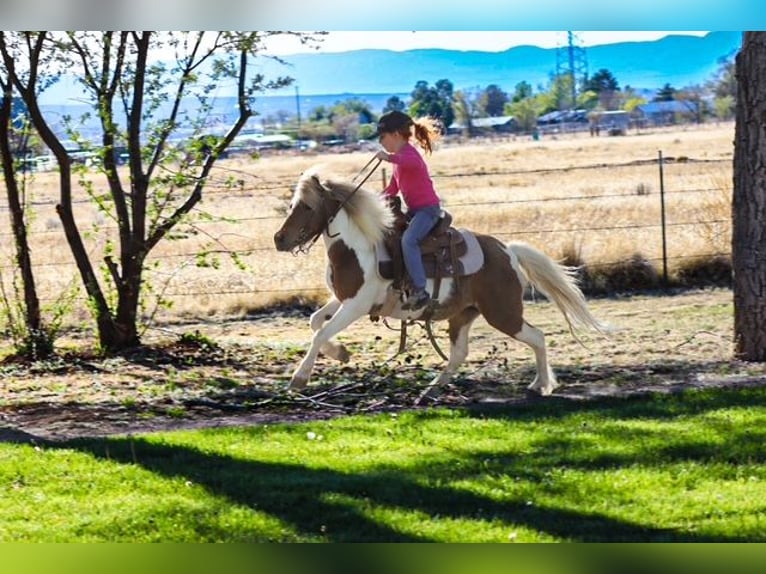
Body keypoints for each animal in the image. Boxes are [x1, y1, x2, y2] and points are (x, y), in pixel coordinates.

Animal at [273, 166, 610, 396]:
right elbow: (316, 322)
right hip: (463, 315)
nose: (279, 239)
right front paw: (341, 353)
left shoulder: (356, 305)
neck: (358, 248)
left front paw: (299, 378)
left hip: (503, 313)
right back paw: (433, 386)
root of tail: (508, 252)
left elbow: (319, 332)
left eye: (306, 206)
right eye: (291, 205)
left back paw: (540, 384)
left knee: (537, 337)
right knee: (460, 353)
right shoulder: (343, 300)